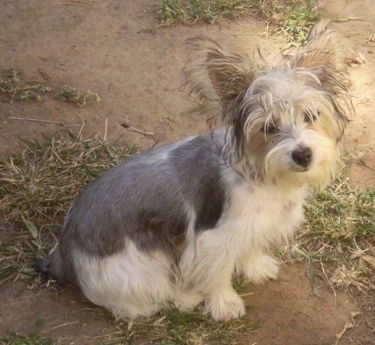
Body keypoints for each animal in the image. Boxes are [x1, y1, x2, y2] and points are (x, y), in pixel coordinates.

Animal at [37, 21, 352, 322]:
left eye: (311, 115)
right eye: (268, 127)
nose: (303, 154)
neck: (267, 176)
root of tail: (64, 254)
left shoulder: (253, 228)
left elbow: (249, 248)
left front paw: (256, 268)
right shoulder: (212, 240)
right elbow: (218, 273)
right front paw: (224, 303)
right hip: (140, 268)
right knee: (138, 303)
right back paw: (183, 298)